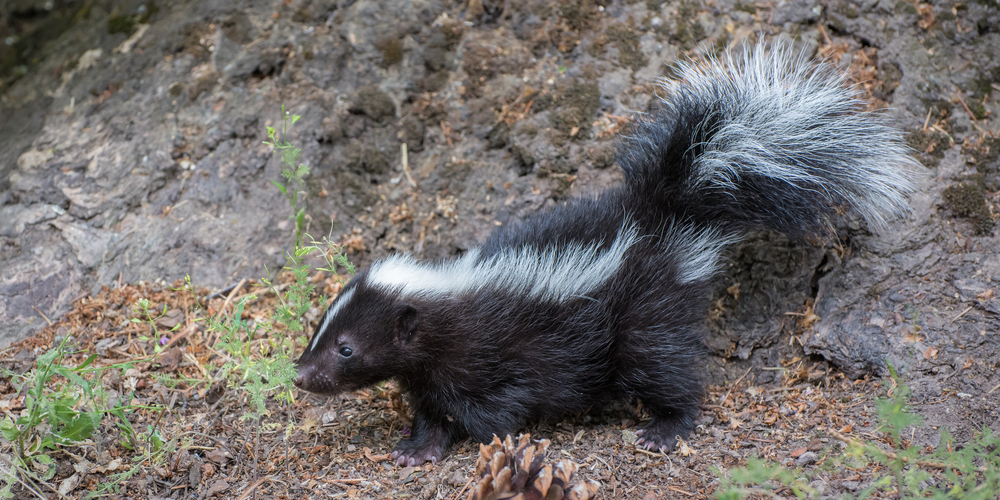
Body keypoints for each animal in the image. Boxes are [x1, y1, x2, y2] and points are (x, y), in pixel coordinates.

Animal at [292, 42, 916, 464]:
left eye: (346, 349)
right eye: (320, 331)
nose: (299, 376)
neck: (450, 301)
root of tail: (664, 215)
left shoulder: (499, 355)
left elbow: (499, 406)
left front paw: (486, 436)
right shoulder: (430, 370)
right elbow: (430, 408)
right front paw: (418, 447)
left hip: (643, 316)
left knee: (667, 370)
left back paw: (665, 428)